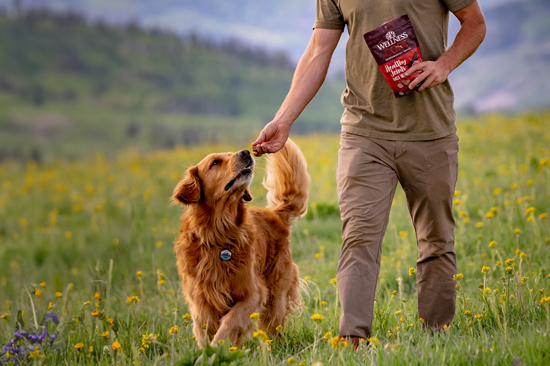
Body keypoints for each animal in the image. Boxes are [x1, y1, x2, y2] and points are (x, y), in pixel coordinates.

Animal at [172, 137, 310, 346]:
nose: (245, 152)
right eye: (215, 162)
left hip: (276, 293)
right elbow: (203, 329)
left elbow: (230, 321)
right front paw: (207, 349)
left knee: (273, 327)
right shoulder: (201, 300)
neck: (219, 234)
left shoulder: (254, 294)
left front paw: (217, 346)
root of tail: (275, 214)